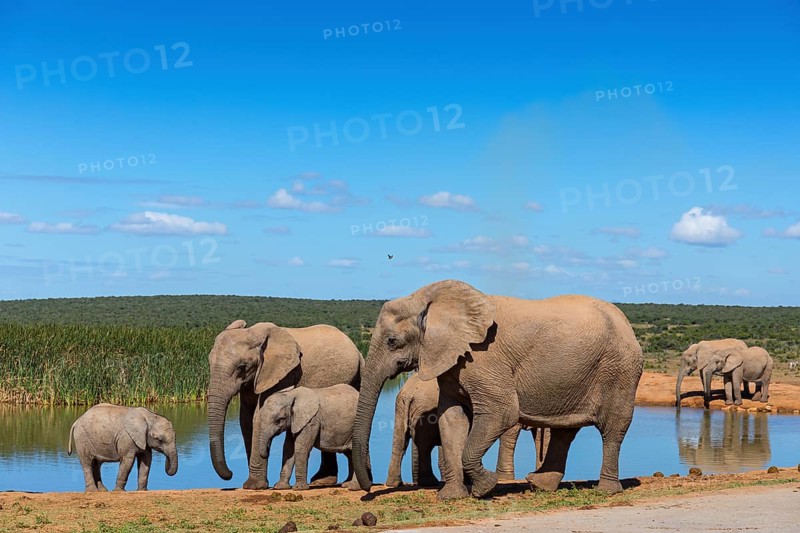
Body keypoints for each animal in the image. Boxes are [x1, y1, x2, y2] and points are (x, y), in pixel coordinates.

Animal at [207, 320, 362, 489]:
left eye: (242, 367)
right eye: (209, 362)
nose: (230, 474)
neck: (254, 333)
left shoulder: (284, 375)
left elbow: (258, 417)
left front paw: (254, 486)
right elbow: (246, 420)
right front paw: (254, 484)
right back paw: (324, 481)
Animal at [385, 373, 550, 488]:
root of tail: (408, 393)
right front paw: (505, 479)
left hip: (401, 409)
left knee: (401, 442)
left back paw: (397, 483)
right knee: (423, 444)